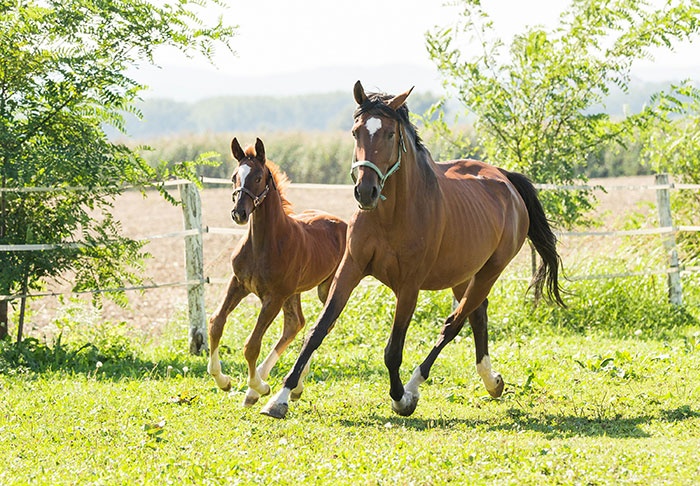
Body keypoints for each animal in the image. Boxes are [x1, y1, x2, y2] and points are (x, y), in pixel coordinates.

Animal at [207, 137, 347, 407]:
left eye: (258, 177)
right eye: (234, 177)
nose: (239, 213)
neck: (263, 243)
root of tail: (344, 224)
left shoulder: (274, 297)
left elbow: (251, 344)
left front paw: (258, 386)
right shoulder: (238, 283)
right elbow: (216, 323)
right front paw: (223, 380)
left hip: (325, 289)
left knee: (322, 325)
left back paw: (285, 386)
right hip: (294, 292)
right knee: (296, 324)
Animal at [260, 81, 564, 419]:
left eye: (390, 134)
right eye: (356, 132)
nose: (365, 192)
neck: (390, 216)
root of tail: (505, 180)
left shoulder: (409, 286)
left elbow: (393, 350)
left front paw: (400, 398)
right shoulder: (350, 268)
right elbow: (318, 330)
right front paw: (280, 397)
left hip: (489, 272)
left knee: (454, 324)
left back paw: (417, 386)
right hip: (463, 274)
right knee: (477, 316)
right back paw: (492, 381)